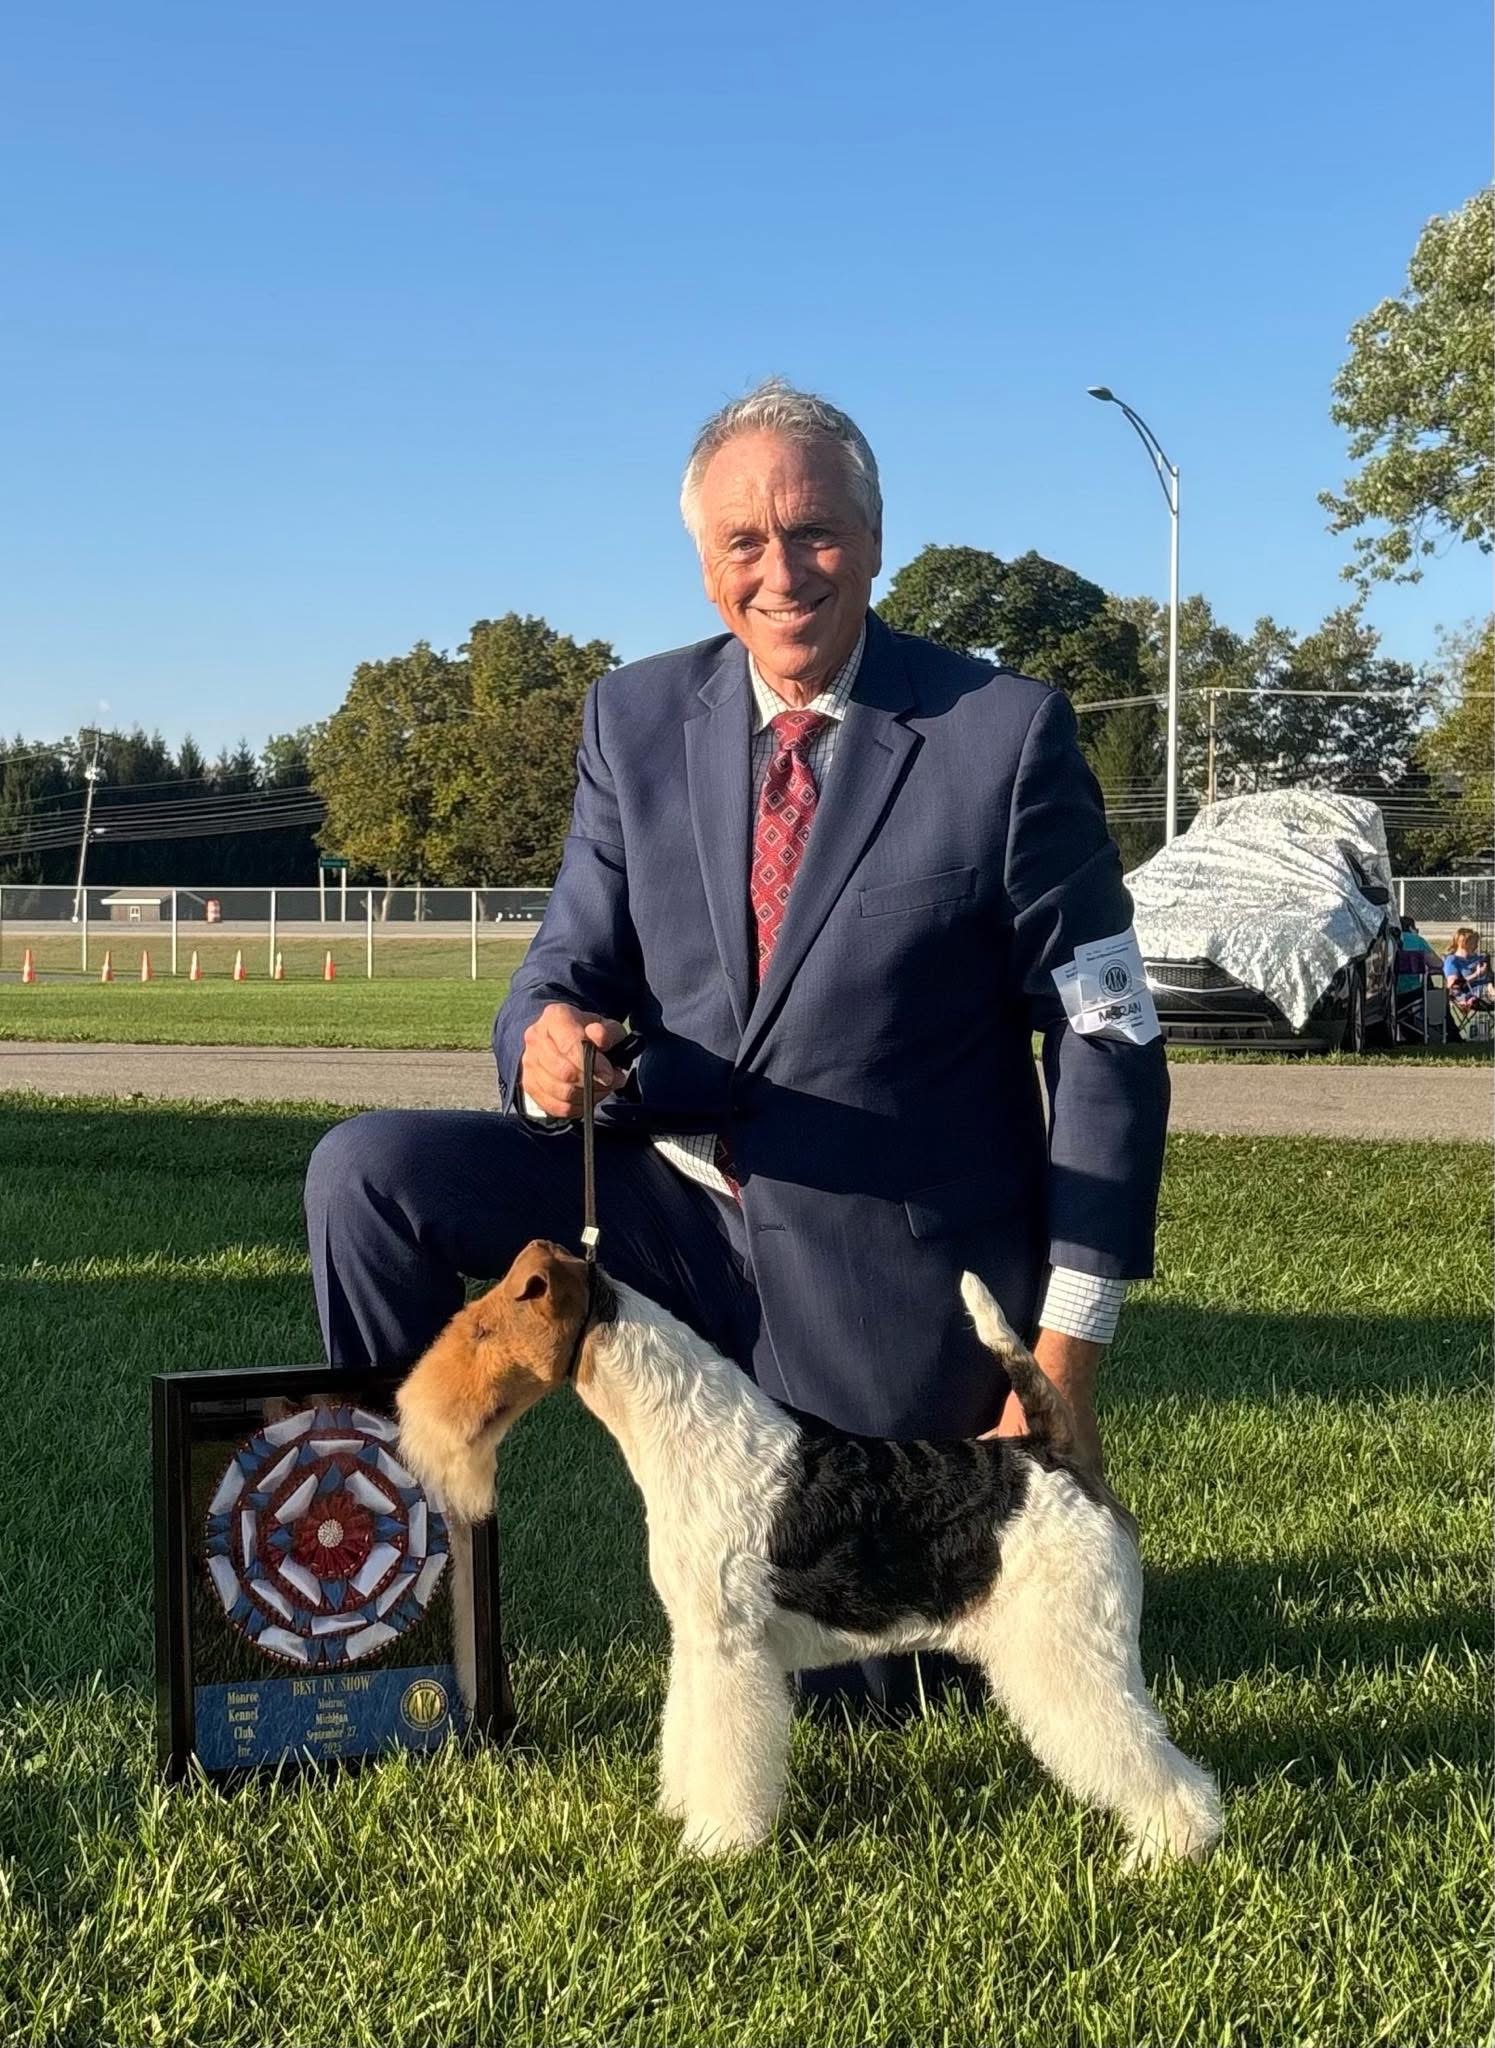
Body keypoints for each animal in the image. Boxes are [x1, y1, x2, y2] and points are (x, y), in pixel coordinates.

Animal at [396, 1239, 1221, 1867]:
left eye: (483, 1331)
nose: (409, 1414)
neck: (682, 1430)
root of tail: (1053, 1455)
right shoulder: (698, 1640)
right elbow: (687, 1733)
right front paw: (681, 1809)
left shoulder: (732, 1651)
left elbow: (728, 1751)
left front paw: (716, 1844)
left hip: (1067, 1649)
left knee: (1152, 1757)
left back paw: (1166, 1850)